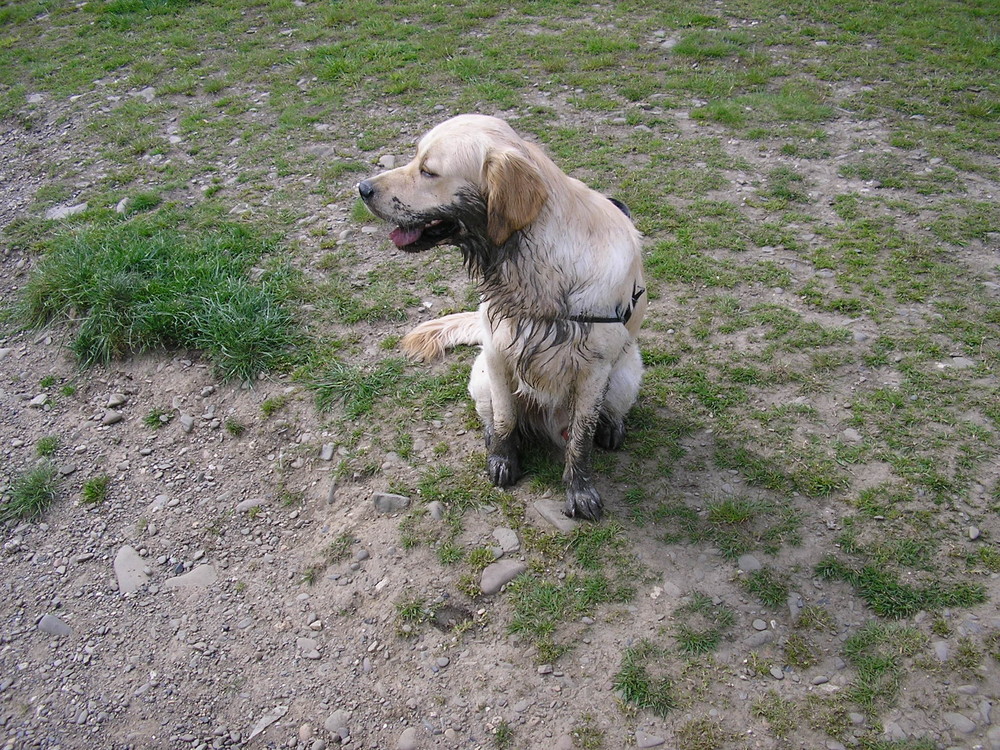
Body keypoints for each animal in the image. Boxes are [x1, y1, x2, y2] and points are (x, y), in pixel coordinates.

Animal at [362, 113, 648, 524]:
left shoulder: (594, 370)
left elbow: (581, 438)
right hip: (479, 374)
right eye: (416, 158)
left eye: (428, 171)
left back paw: (612, 427)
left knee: (604, 416)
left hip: (626, 374)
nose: (362, 188)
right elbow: (505, 419)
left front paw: (580, 490)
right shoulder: (497, 352)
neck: (533, 262)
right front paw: (502, 458)